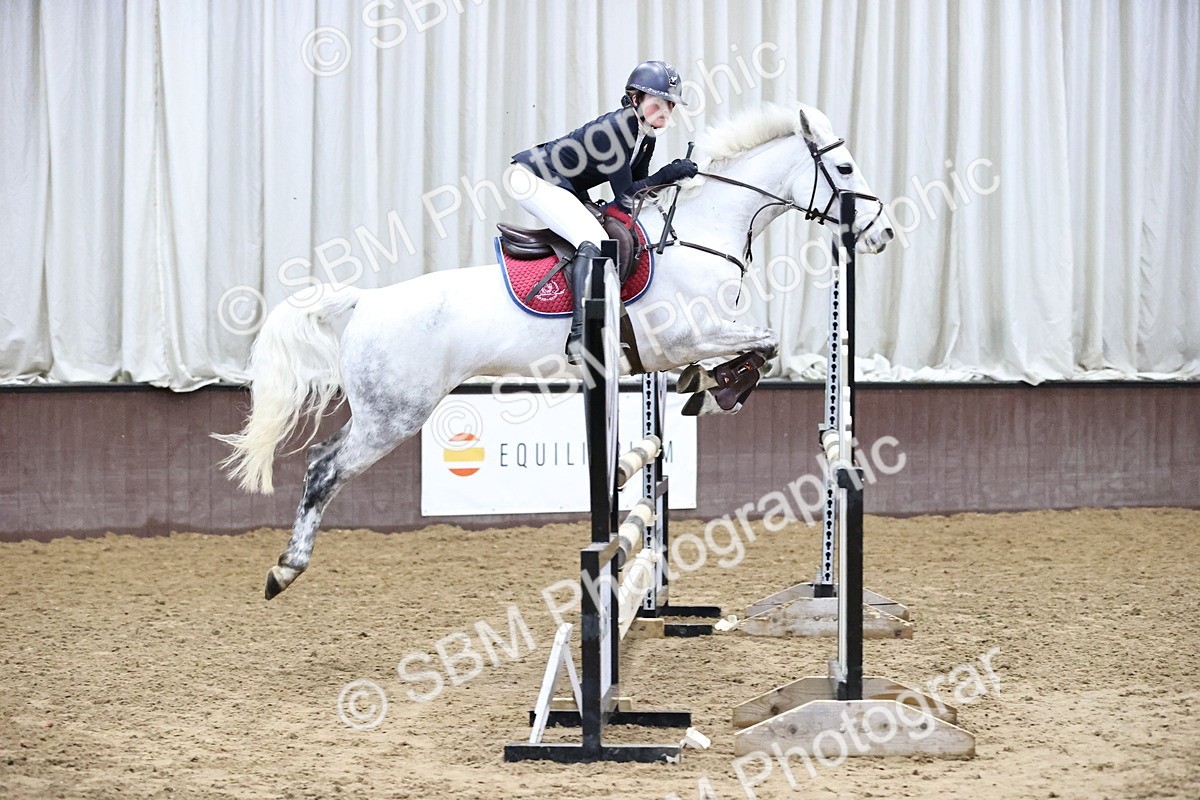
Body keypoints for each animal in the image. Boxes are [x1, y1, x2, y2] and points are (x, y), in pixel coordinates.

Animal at [214, 102, 894, 599]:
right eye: (847, 171)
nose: (882, 232)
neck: (698, 235)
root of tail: (365, 302)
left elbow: (757, 346)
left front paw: (707, 385)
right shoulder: (684, 336)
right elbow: (766, 341)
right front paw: (719, 385)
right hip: (393, 413)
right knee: (323, 468)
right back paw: (285, 569)